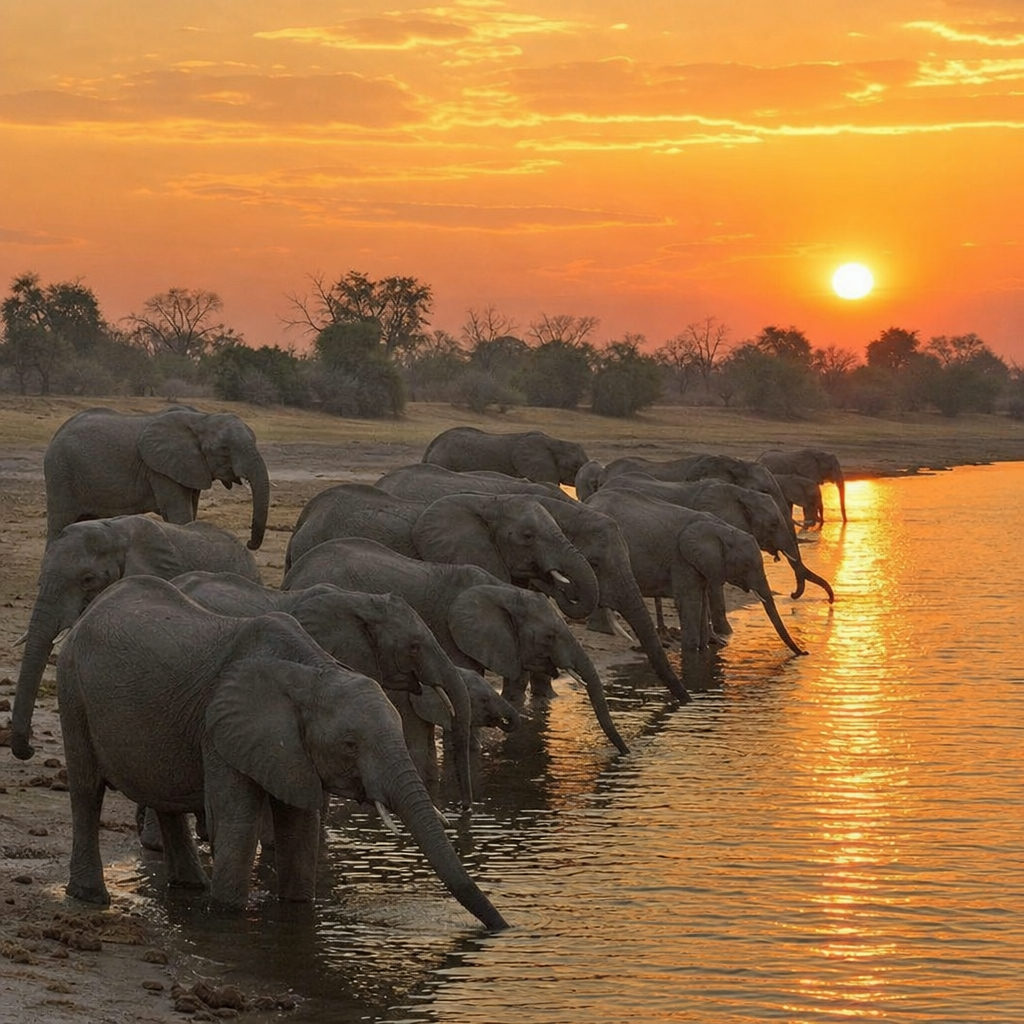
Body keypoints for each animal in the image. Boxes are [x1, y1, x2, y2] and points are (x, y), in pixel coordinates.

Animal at [43, 407, 270, 549]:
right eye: (224, 449)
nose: (249, 544)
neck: (202, 418)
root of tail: (56, 434)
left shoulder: (191, 467)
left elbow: (191, 510)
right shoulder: (160, 470)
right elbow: (179, 513)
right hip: (60, 473)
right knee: (60, 521)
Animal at [585, 488, 807, 657]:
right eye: (746, 566)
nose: (804, 653)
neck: (722, 529)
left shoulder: (701, 564)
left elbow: (701, 600)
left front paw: (705, 648)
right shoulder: (682, 560)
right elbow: (690, 602)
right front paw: (692, 653)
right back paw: (603, 630)